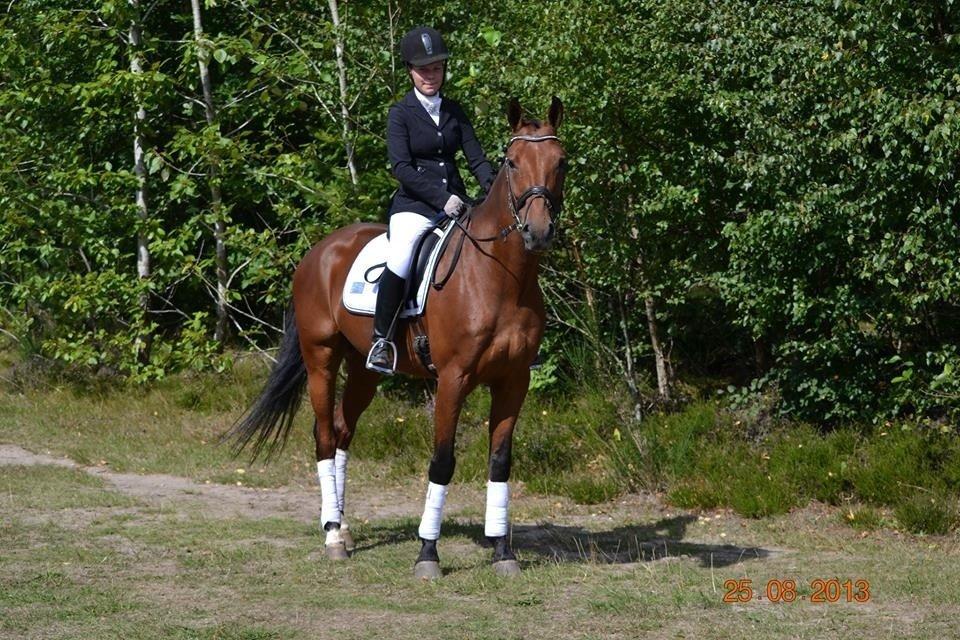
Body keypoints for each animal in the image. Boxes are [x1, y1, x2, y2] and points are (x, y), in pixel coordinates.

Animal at [229, 97, 566, 578]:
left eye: (561, 162)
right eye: (513, 162)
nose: (537, 232)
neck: (502, 277)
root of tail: (319, 251)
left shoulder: (514, 380)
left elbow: (500, 463)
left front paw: (503, 551)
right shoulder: (453, 379)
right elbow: (442, 462)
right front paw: (428, 554)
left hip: (365, 368)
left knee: (342, 430)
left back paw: (344, 527)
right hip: (320, 358)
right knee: (324, 436)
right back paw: (332, 536)